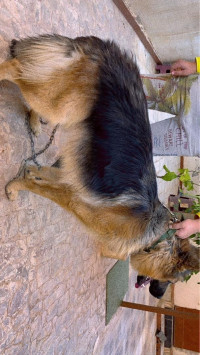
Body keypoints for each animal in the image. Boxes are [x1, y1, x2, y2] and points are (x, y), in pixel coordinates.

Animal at [0, 35, 198, 298]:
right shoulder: (74, 201)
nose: (158, 295)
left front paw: (27, 172)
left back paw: (34, 122)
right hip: (58, 104)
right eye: (174, 280)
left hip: (61, 105)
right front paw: (15, 186)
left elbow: (39, 173)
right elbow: (35, 185)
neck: (155, 237)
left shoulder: (69, 178)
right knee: (13, 69)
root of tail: (105, 48)